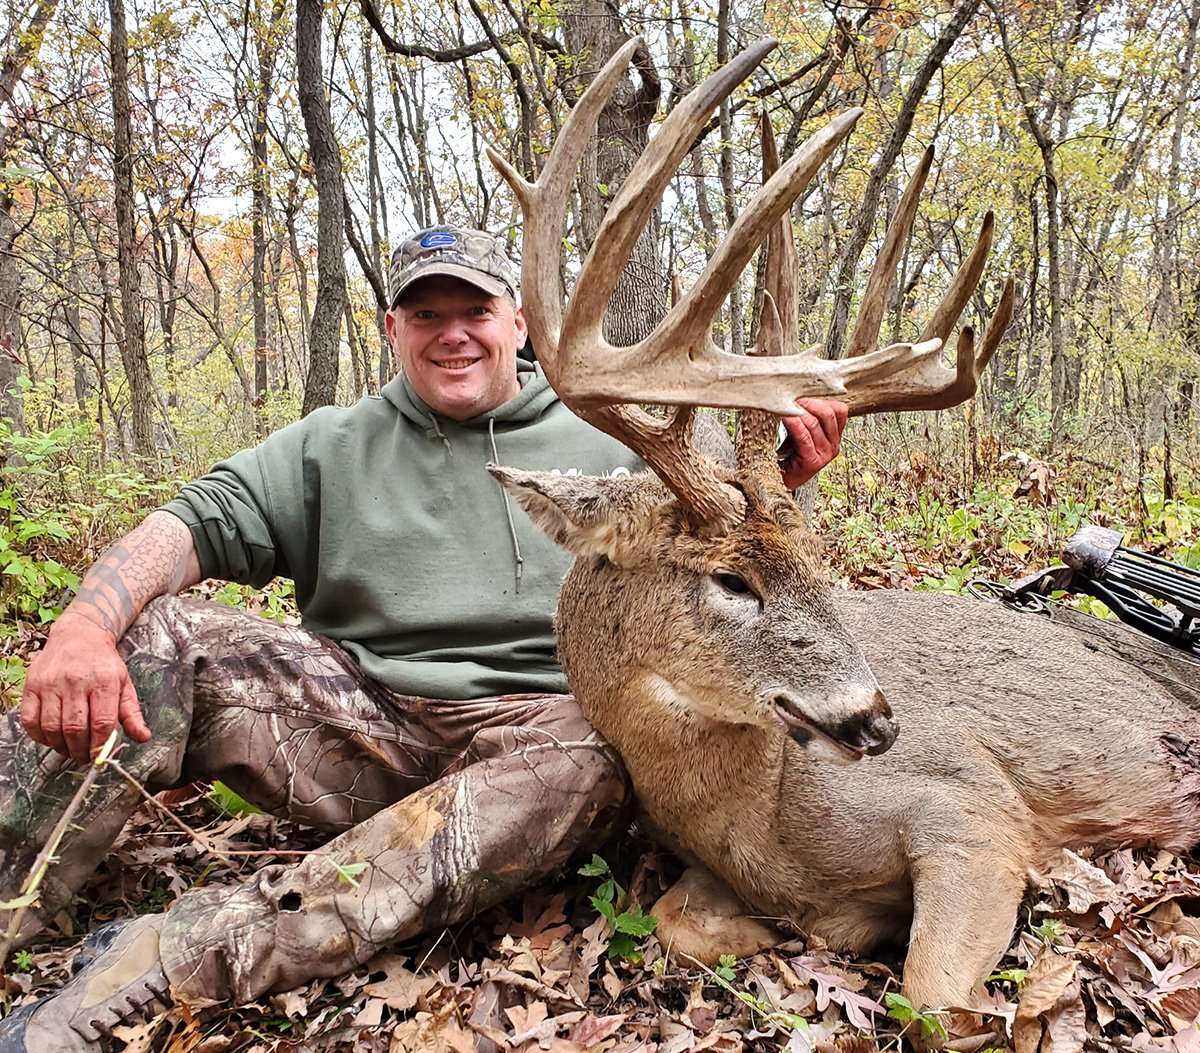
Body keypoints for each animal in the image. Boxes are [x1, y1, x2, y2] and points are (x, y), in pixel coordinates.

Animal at [484, 37, 1200, 1011]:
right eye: (731, 578)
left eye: (822, 565)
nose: (877, 721)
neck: (762, 818)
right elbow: (677, 923)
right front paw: (791, 936)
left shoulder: (974, 807)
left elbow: (931, 993)